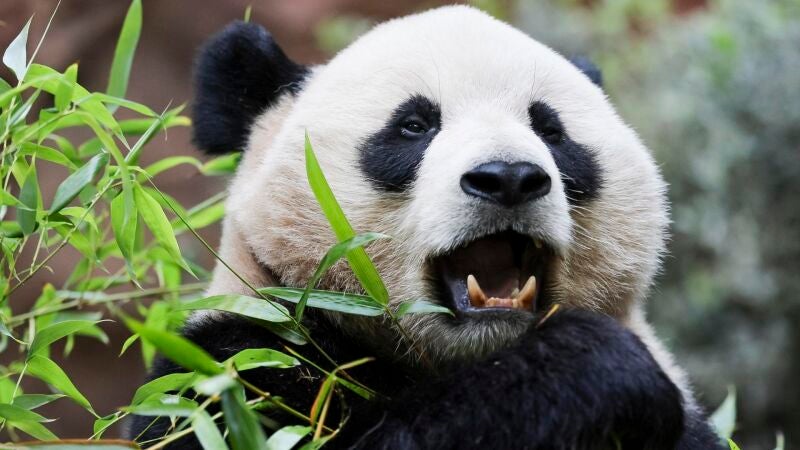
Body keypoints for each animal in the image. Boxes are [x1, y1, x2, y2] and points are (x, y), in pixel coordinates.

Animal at [129, 6, 724, 449]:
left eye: (551, 130)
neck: (479, 353)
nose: (508, 178)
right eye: (414, 125)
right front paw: (595, 366)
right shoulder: (235, 368)